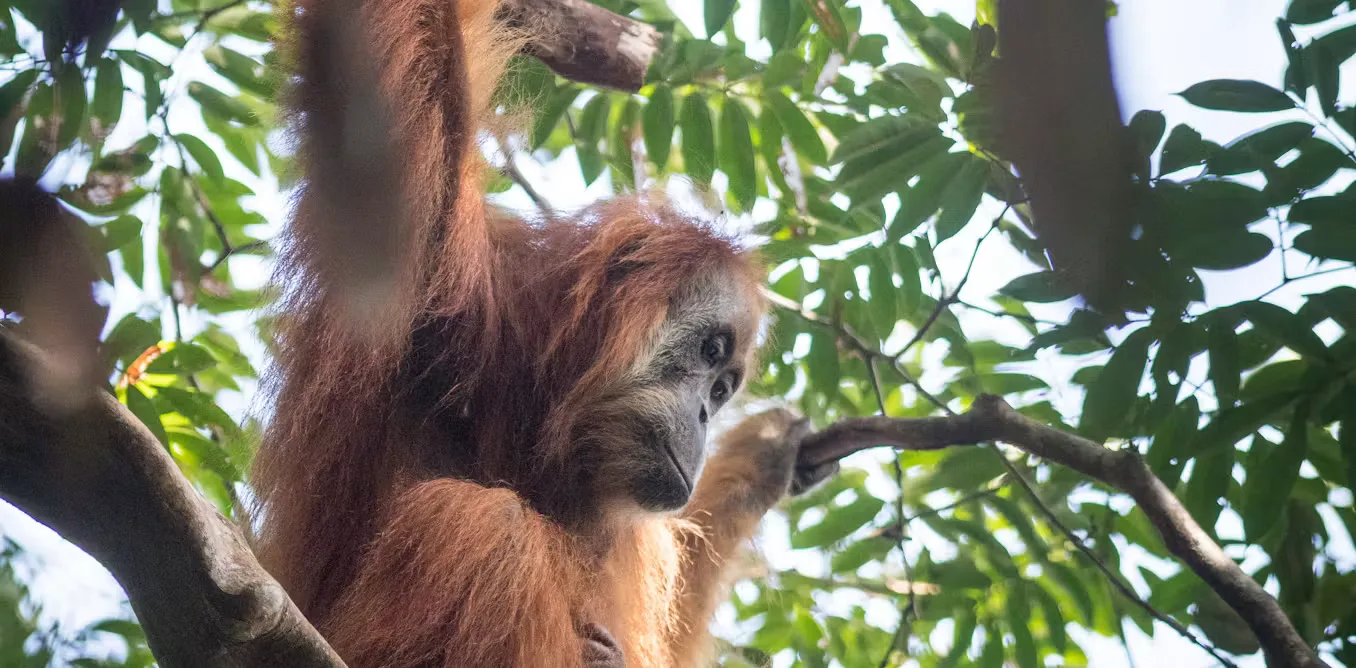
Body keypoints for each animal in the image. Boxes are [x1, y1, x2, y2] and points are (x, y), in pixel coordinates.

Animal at [250, 0, 836, 665]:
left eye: (721, 390)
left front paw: (763, 456)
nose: (706, 416)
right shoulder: (437, 291)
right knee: (488, 525)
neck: (538, 421)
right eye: (709, 352)